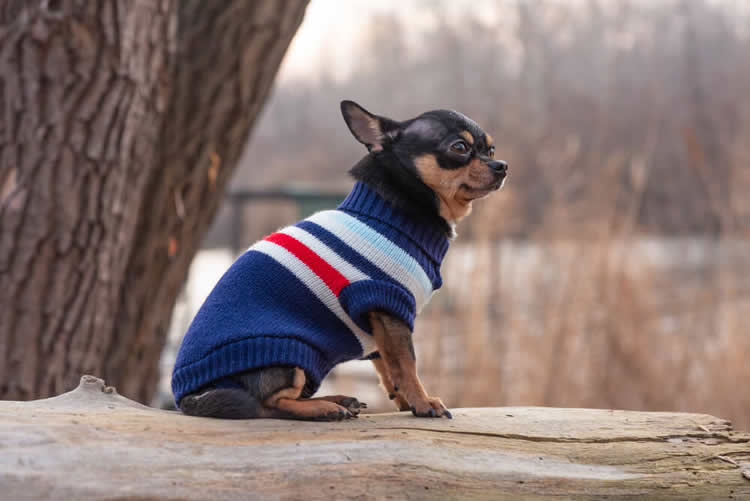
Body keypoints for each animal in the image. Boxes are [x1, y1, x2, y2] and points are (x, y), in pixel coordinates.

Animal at [173, 100, 508, 418]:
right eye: (459, 148)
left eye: (491, 149)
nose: (501, 165)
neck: (391, 211)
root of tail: (190, 396)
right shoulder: (388, 307)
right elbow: (406, 363)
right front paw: (423, 402)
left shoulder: (379, 323)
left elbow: (388, 368)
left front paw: (404, 402)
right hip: (290, 356)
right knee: (269, 405)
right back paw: (324, 409)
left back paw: (338, 400)